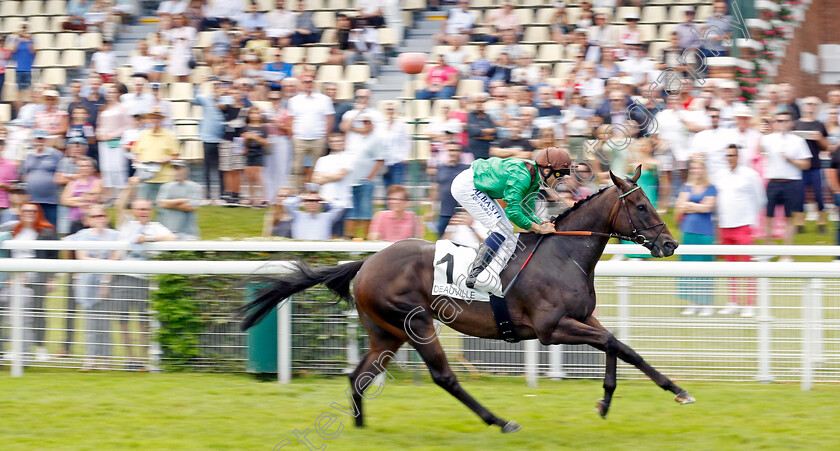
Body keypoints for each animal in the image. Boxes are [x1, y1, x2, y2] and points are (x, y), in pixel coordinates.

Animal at [241, 169, 696, 434]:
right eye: (641, 205)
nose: (670, 244)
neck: (564, 254)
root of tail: (367, 262)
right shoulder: (552, 329)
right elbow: (614, 344)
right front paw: (617, 399)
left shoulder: (584, 318)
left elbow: (622, 346)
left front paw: (659, 392)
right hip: (417, 324)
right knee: (445, 377)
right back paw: (499, 421)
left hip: (387, 334)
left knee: (358, 376)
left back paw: (360, 427)